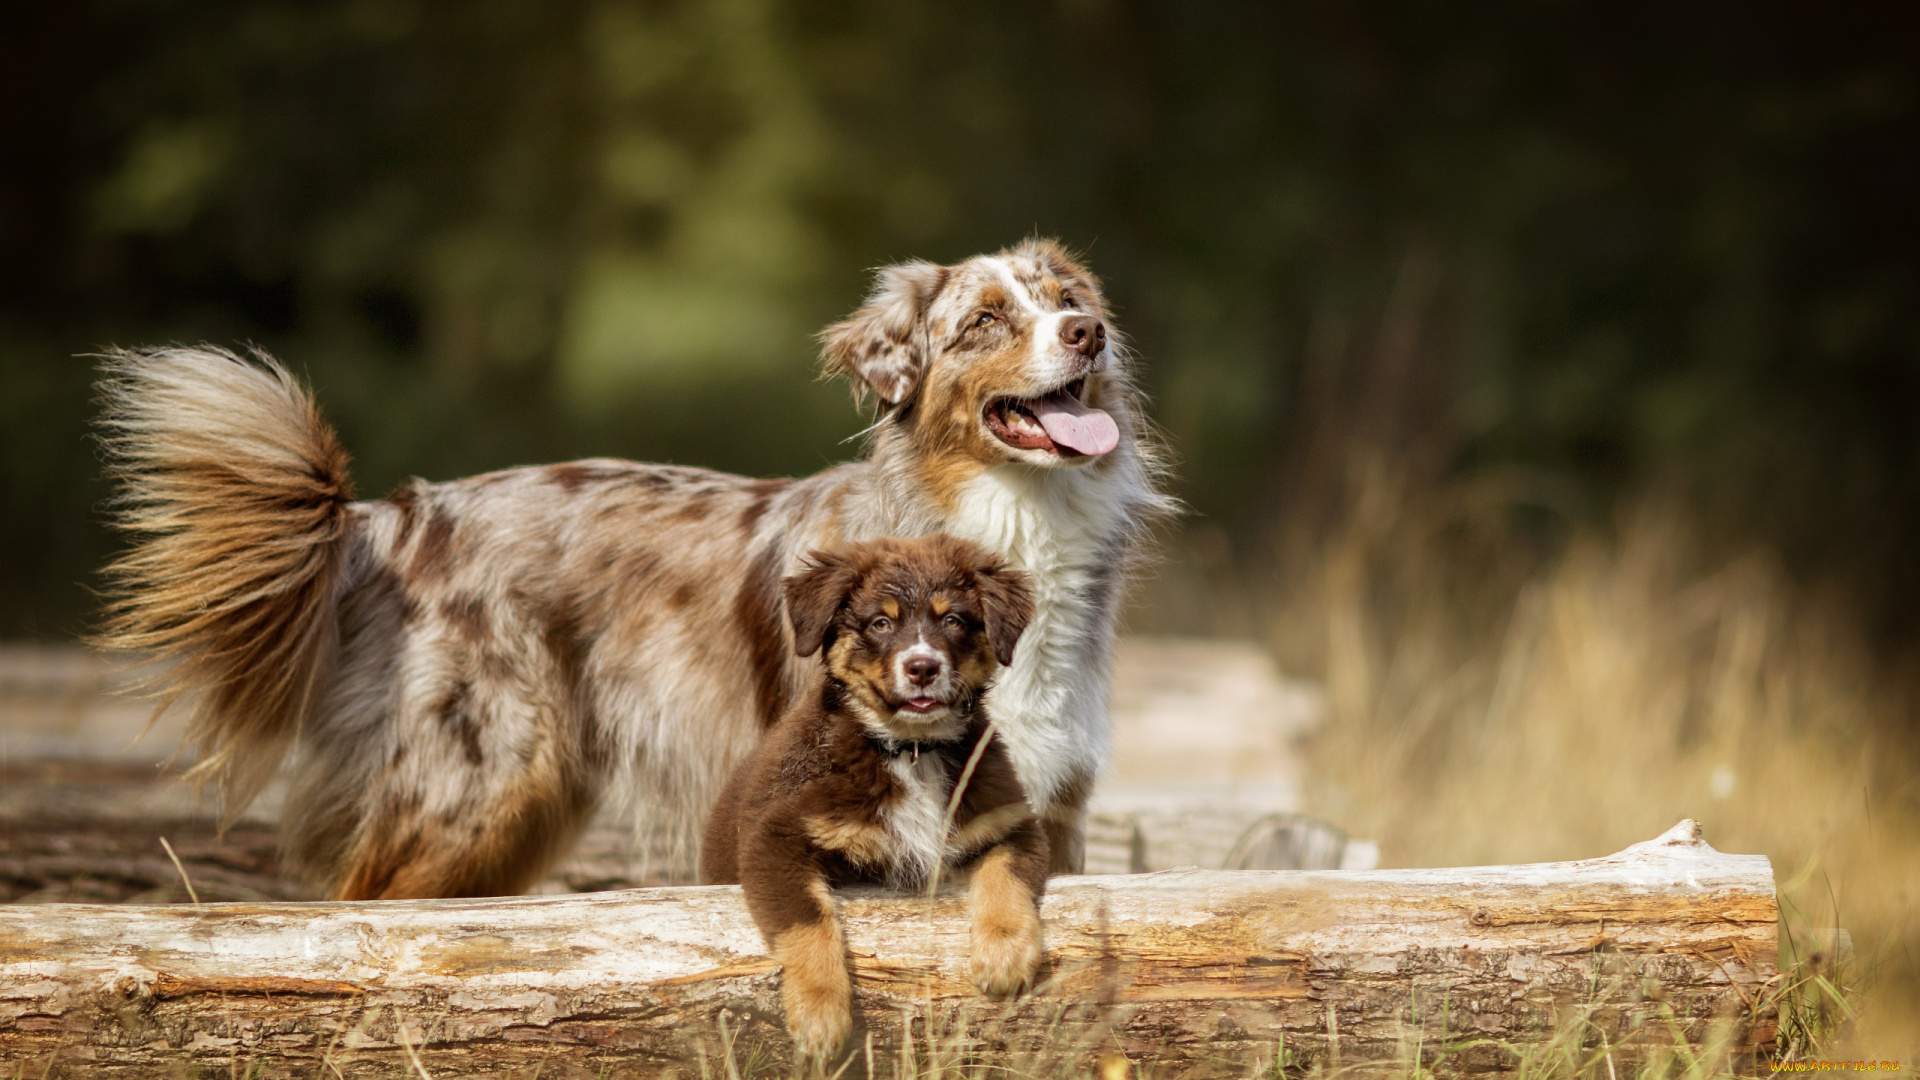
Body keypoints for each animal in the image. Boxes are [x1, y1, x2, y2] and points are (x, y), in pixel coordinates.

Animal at [97, 239, 1167, 895]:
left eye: (1067, 301)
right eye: (984, 321)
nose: (1089, 333)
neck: (1014, 519)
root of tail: (390, 518)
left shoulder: (1049, 802)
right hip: (472, 790)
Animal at [702, 534, 1044, 1053]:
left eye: (953, 620)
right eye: (881, 623)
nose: (922, 667)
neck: (911, 750)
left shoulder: (1009, 820)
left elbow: (1007, 875)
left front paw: (1004, 955)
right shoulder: (775, 837)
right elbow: (808, 920)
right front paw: (820, 1016)